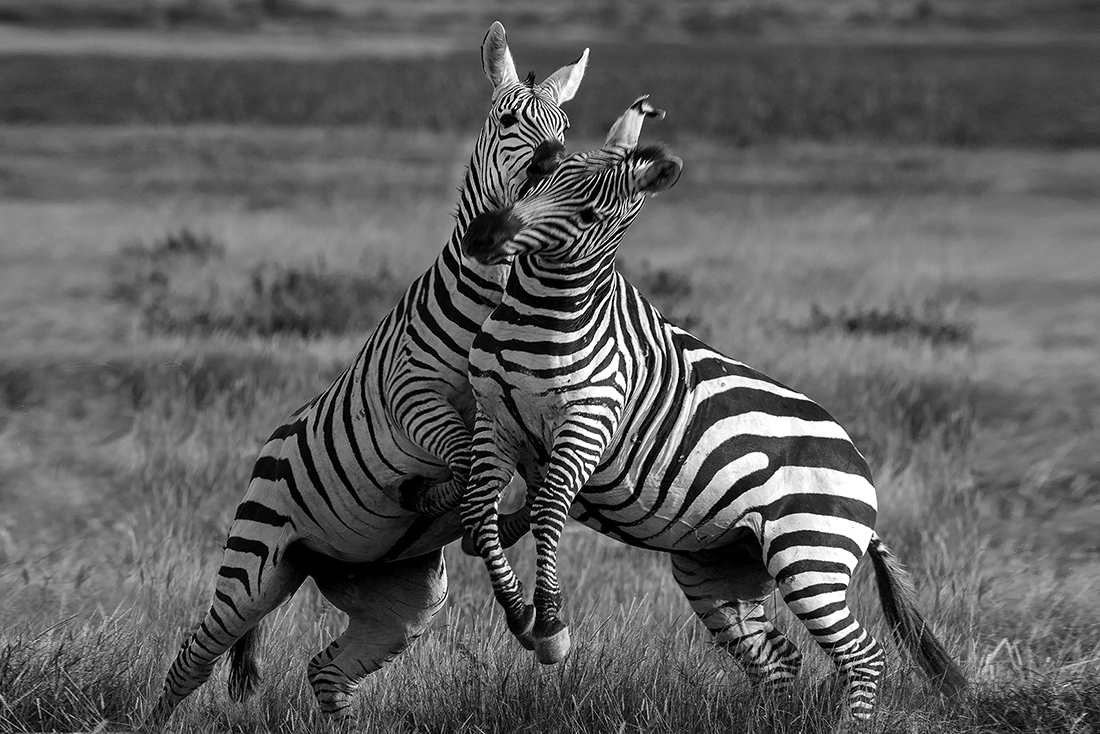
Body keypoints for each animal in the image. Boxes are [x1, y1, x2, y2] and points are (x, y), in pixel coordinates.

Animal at [143, 23, 588, 729]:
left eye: (566, 130)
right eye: (512, 122)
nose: (555, 168)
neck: (487, 305)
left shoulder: (520, 417)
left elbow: (513, 485)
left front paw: (480, 528)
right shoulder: (415, 399)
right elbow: (468, 466)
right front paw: (446, 506)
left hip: (400, 603)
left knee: (326, 670)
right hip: (252, 567)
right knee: (196, 655)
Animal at [457, 97, 966, 719]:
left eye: (587, 213)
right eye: (536, 176)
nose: (484, 235)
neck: (540, 314)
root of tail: (862, 472)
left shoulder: (588, 426)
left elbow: (549, 511)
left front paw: (549, 626)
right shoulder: (495, 422)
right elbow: (478, 515)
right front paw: (519, 612)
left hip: (810, 556)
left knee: (861, 655)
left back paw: (850, 723)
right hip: (719, 568)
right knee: (776, 658)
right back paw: (768, 723)